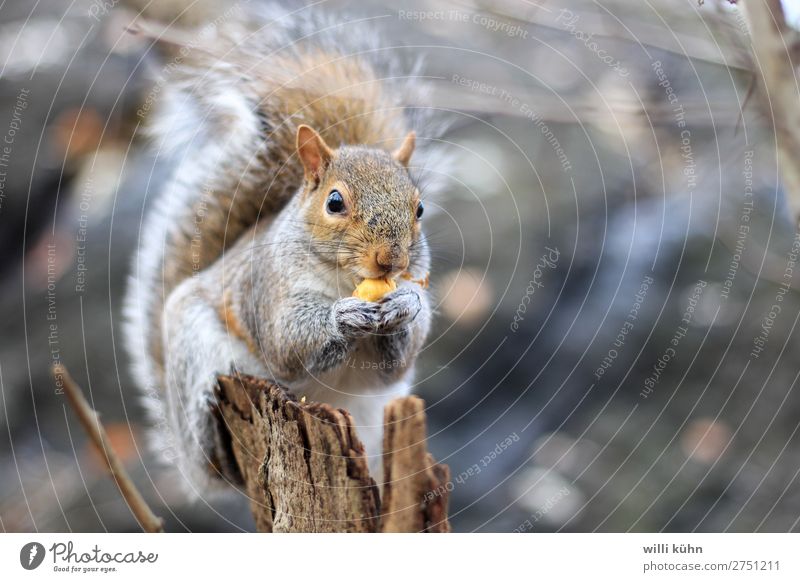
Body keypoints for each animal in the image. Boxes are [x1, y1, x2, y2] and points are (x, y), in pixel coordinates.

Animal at [125, 4, 450, 498]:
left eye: (420, 208)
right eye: (334, 203)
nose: (390, 259)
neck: (344, 279)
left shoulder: (390, 373)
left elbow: (395, 363)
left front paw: (406, 305)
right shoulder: (267, 286)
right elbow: (285, 340)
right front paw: (343, 316)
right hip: (193, 350)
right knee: (214, 456)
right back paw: (215, 445)